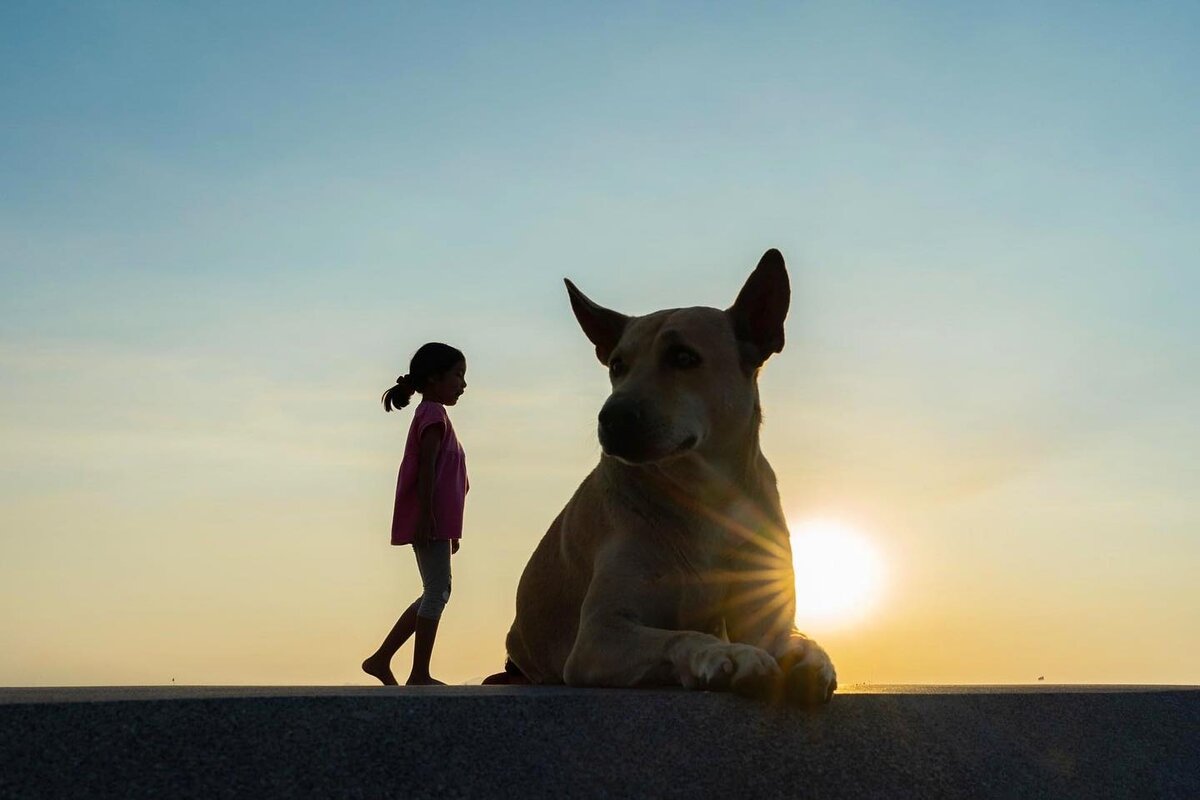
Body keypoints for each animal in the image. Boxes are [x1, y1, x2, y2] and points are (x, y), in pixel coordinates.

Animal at [496, 250, 835, 705]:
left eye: (684, 357)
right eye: (617, 365)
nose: (612, 417)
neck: (704, 499)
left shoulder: (762, 610)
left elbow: (790, 636)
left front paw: (810, 656)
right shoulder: (598, 636)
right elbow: (680, 636)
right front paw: (729, 657)